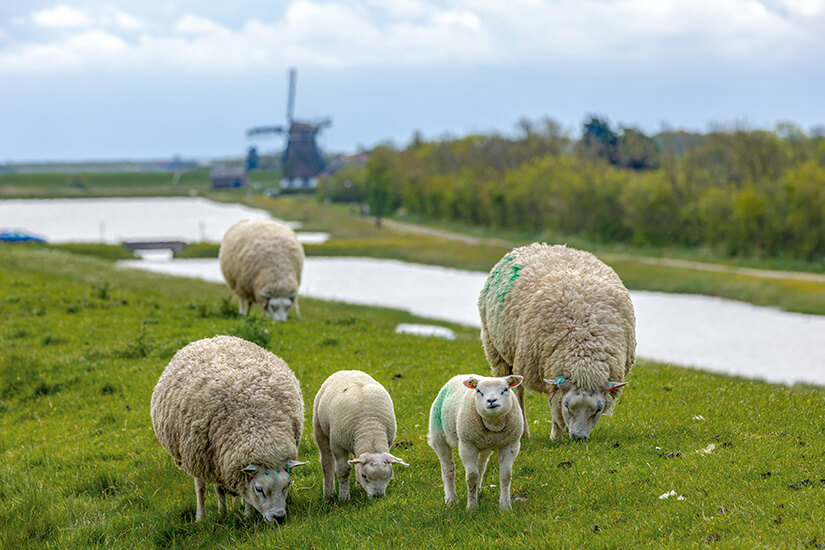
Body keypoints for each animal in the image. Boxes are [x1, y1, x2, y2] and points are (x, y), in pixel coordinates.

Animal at [150, 335, 307, 523]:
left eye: (287, 485)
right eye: (259, 489)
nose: (279, 517)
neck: (257, 427)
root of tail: (213, 338)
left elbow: (243, 493)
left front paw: (247, 515)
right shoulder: (207, 457)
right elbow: (213, 489)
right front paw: (221, 514)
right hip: (199, 457)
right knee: (202, 487)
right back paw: (203, 516)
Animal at [312, 370, 408, 500]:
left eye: (389, 475)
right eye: (364, 476)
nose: (378, 496)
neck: (369, 427)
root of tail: (347, 371)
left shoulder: (388, 442)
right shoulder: (338, 446)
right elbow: (344, 471)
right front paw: (344, 497)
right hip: (320, 429)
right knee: (327, 462)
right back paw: (328, 493)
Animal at [427, 374, 524, 510]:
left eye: (505, 389)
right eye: (478, 391)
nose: (491, 400)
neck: (493, 424)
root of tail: (460, 375)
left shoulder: (510, 445)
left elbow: (505, 476)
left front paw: (505, 506)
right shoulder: (467, 446)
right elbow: (471, 477)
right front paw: (472, 506)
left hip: (484, 446)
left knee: (481, 467)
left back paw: (478, 490)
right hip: (439, 437)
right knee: (448, 468)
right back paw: (451, 499)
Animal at [478, 243, 635, 442]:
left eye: (598, 409)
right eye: (567, 405)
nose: (578, 438)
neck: (584, 347)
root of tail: (538, 245)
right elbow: (554, 408)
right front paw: (556, 436)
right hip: (498, 350)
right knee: (516, 390)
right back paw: (523, 431)